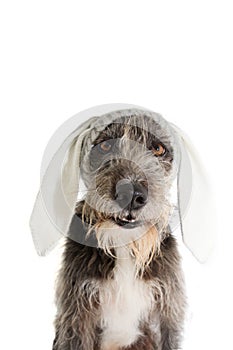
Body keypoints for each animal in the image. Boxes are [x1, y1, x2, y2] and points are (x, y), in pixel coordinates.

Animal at [52, 112, 186, 350]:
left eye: (158, 149)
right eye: (105, 145)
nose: (131, 195)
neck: (125, 242)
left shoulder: (168, 311)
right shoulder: (76, 316)